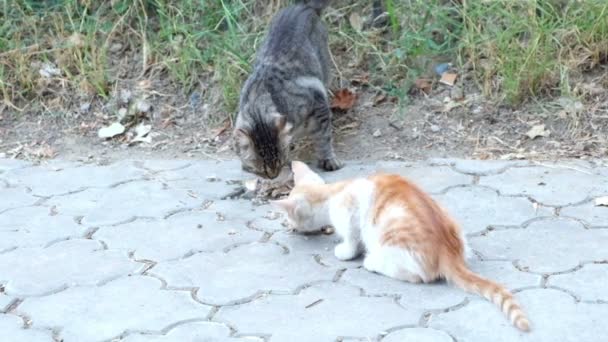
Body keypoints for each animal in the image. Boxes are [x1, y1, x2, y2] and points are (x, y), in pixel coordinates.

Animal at [233, 0, 342, 179]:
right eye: (261, 169)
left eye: (279, 162)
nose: (273, 176)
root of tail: (302, 6)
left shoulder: (318, 102)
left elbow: (324, 137)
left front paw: (328, 159)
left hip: (324, 68)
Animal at [274, 160, 528, 332]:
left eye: (288, 217)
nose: (287, 226)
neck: (333, 192)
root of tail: (450, 251)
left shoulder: (349, 211)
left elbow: (351, 237)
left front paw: (345, 250)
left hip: (392, 239)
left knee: (418, 276)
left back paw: (372, 261)